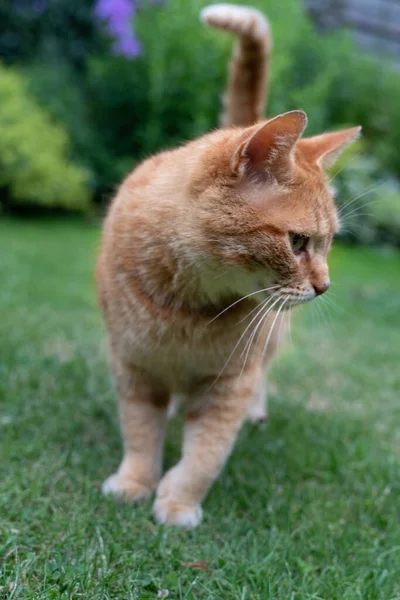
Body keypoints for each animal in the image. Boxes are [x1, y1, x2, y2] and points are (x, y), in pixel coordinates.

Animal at [96, 4, 360, 528]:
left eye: (327, 244)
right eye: (297, 242)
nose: (324, 286)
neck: (186, 307)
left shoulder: (229, 385)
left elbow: (205, 453)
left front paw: (178, 504)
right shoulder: (134, 367)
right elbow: (139, 432)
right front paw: (135, 483)